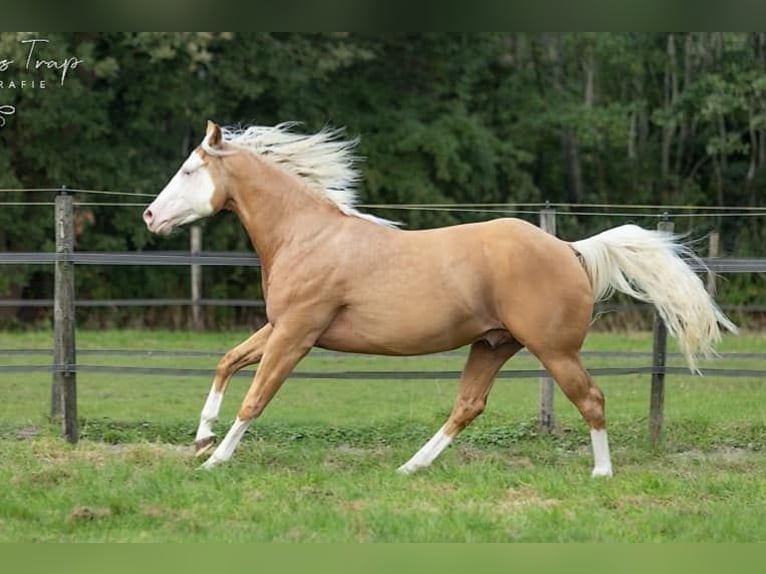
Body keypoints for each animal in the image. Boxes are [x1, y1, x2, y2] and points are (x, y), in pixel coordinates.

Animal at [144, 121, 736, 476]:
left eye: (191, 170)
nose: (150, 216)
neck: (306, 234)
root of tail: (571, 249)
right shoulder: (281, 325)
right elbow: (227, 362)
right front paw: (202, 437)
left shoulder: (297, 332)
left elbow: (257, 395)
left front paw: (214, 461)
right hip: (493, 345)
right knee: (468, 405)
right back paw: (412, 466)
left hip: (554, 350)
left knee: (591, 400)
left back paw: (601, 472)